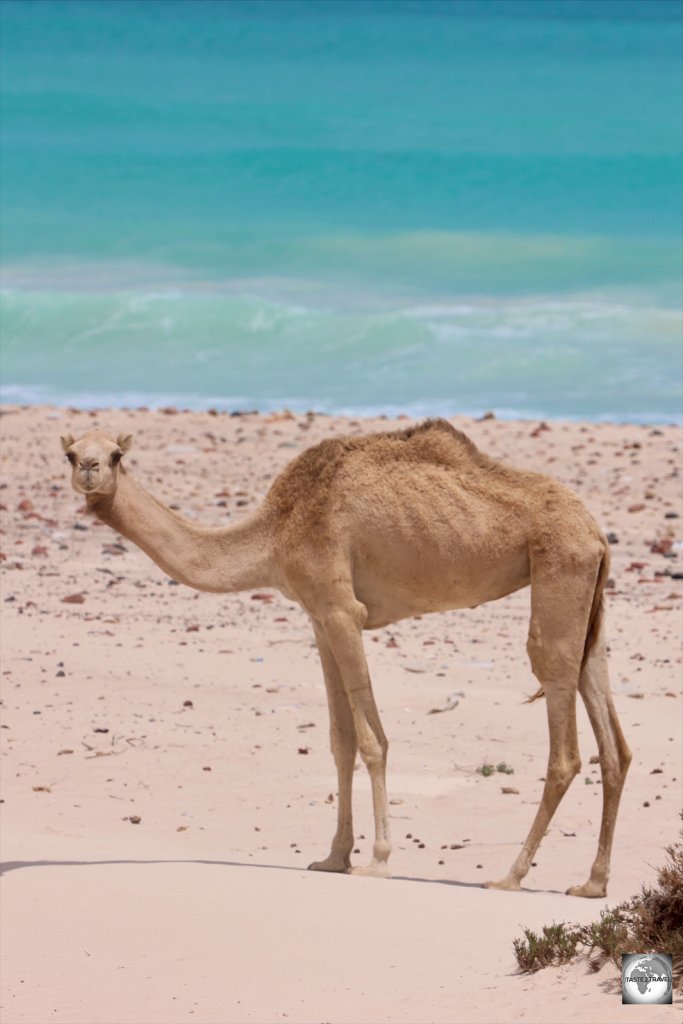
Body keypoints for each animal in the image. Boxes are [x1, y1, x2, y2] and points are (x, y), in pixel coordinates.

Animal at [61, 417, 634, 897]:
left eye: (115, 454)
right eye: (70, 453)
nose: (90, 469)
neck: (278, 529)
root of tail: (596, 532)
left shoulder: (342, 610)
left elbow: (372, 739)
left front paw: (378, 859)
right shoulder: (317, 617)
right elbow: (340, 741)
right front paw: (333, 857)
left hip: (559, 572)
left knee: (561, 731)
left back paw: (510, 875)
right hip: (589, 601)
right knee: (613, 739)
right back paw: (592, 883)